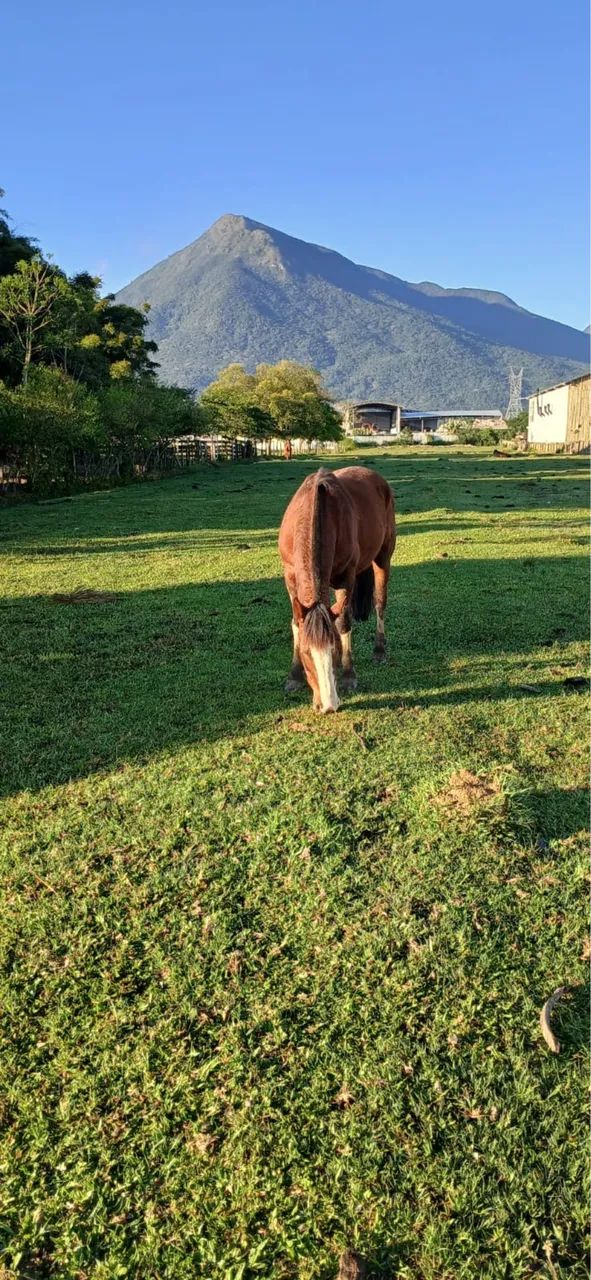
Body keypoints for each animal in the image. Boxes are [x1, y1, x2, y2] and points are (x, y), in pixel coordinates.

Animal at [278, 466, 396, 713]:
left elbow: (343, 623)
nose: (329, 706)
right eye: (306, 653)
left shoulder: (345, 577)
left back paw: (379, 650)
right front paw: (294, 677)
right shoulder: (289, 575)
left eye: (333, 650)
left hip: (383, 557)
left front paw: (349, 675)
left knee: (380, 602)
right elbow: (296, 622)